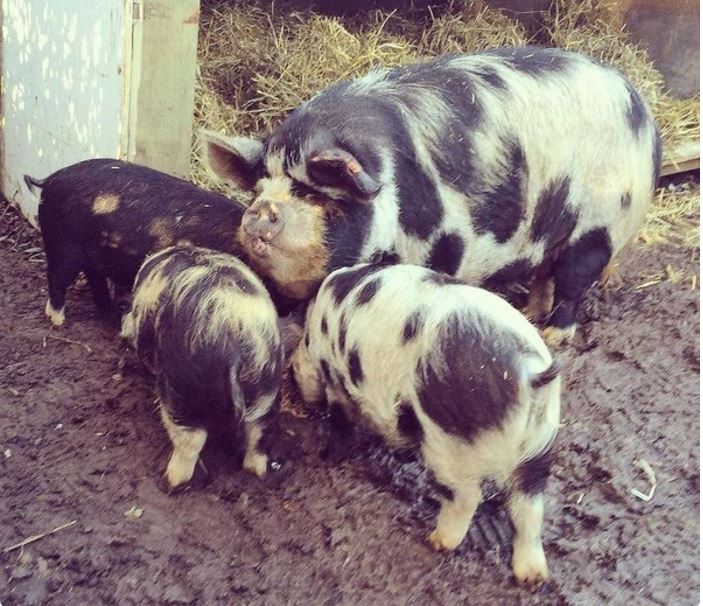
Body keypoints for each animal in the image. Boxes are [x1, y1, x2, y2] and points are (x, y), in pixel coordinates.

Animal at [24, 159, 294, 326]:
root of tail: (50, 179)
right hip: (62, 243)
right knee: (56, 278)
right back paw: (59, 320)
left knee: (95, 280)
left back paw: (112, 314)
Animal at [121, 246, 286, 490]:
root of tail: (233, 343)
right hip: (266, 387)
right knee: (258, 435)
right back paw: (258, 472)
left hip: (183, 390)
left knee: (191, 438)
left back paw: (170, 481)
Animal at [201, 46, 664, 346]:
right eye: (259, 187)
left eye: (315, 193)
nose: (261, 210)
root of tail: (641, 108)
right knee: (545, 271)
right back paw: (532, 314)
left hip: (601, 220)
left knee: (574, 277)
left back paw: (552, 335)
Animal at [292, 264, 560, 588]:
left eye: (301, 348)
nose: (293, 371)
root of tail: (528, 374)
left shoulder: (337, 382)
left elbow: (339, 417)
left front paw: (331, 453)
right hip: (539, 447)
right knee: (529, 509)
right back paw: (532, 577)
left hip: (448, 445)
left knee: (468, 497)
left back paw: (436, 541)